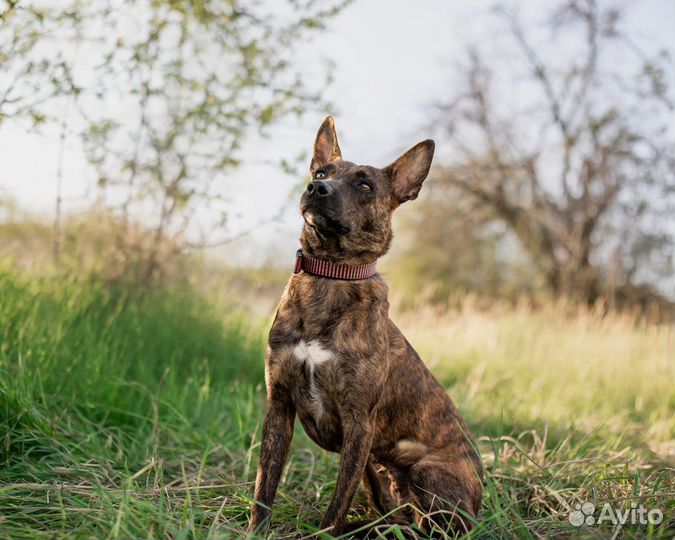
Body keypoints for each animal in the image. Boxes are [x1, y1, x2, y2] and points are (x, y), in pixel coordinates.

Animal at [248, 118, 480, 536]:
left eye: (365, 186)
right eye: (320, 173)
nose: (316, 189)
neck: (331, 274)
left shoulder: (359, 424)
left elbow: (337, 503)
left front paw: (324, 535)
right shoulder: (279, 406)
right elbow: (265, 485)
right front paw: (254, 530)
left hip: (426, 468)